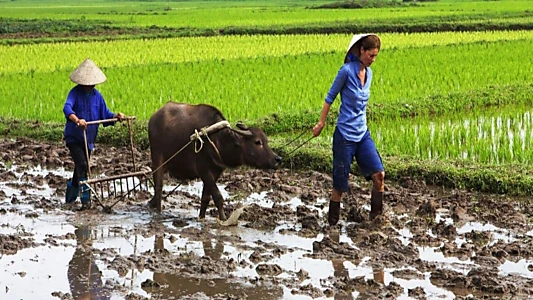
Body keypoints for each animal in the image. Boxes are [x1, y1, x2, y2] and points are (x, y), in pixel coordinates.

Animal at [145, 102, 278, 219]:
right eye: (257, 142)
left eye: (266, 141)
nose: (278, 159)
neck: (218, 140)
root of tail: (154, 117)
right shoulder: (204, 171)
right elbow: (217, 197)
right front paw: (223, 219)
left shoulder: (216, 172)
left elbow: (206, 198)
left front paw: (202, 218)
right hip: (157, 159)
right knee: (159, 187)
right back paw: (158, 212)